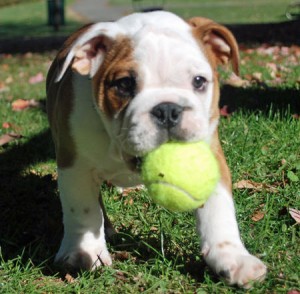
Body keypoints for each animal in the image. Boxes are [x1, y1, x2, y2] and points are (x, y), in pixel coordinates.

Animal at [47, 10, 268, 288]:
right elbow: (82, 209)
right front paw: (83, 251)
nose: (167, 109)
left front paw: (230, 256)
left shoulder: (210, 155)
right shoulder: (74, 164)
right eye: (124, 84)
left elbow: (219, 209)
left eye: (199, 81)